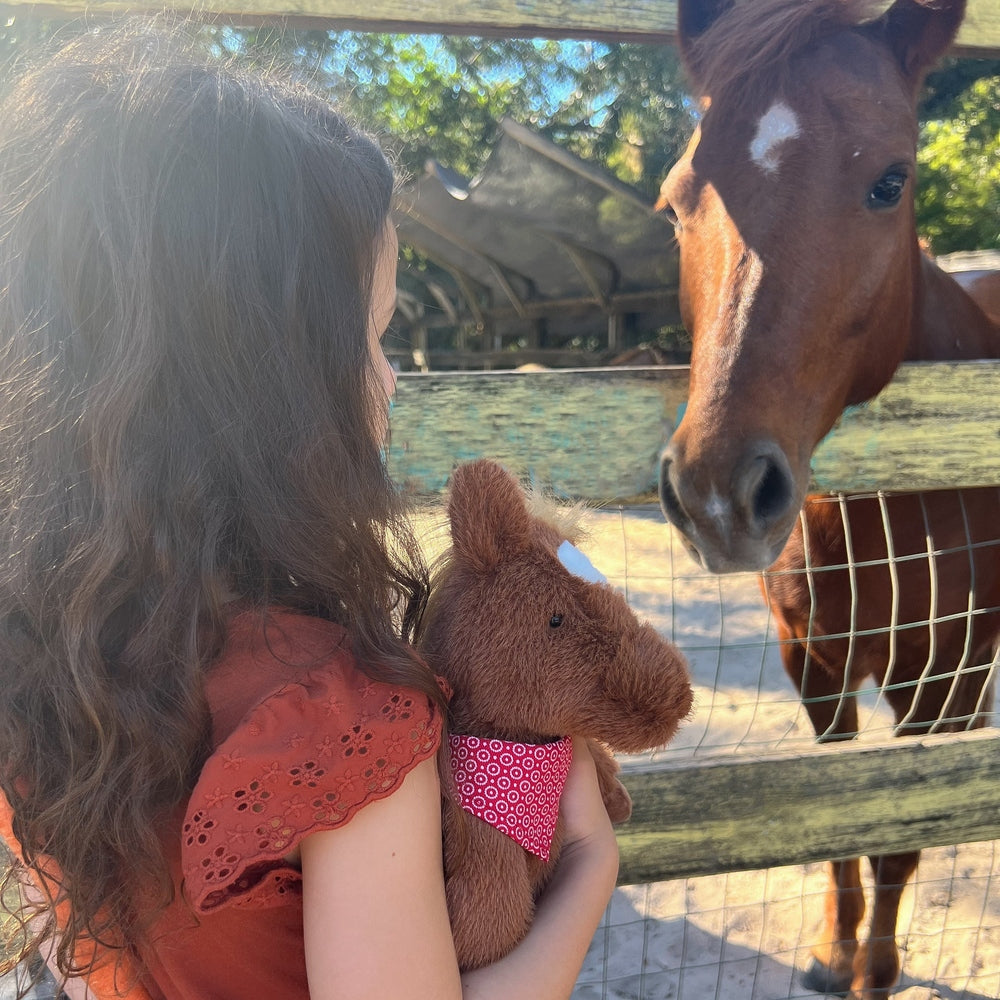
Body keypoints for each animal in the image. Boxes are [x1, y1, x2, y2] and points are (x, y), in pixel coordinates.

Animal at [654, 1, 1000, 998]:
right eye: (674, 203)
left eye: (891, 181)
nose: (720, 493)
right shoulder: (810, 657)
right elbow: (837, 816)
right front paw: (832, 951)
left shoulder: (948, 675)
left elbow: (898, 840)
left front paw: (878, 967)